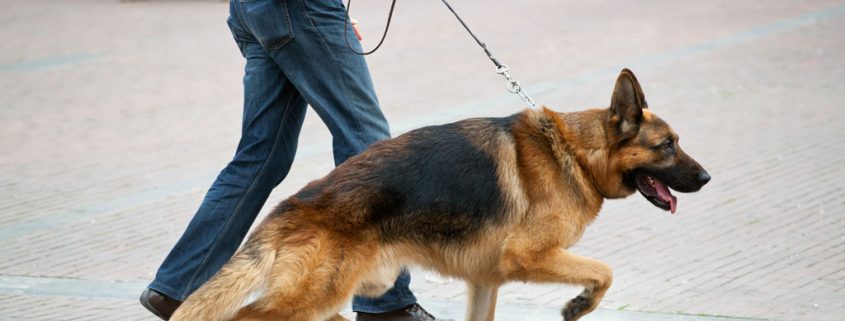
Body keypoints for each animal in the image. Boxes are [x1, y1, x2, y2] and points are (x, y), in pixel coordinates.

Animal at [175, 69, 708, 318]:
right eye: (667, 146)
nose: (706, 178)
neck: (575, 153)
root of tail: (294, 203)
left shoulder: (485, 283)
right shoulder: (529, 256)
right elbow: (605, 272)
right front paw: (579, 305)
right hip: (313, 297)